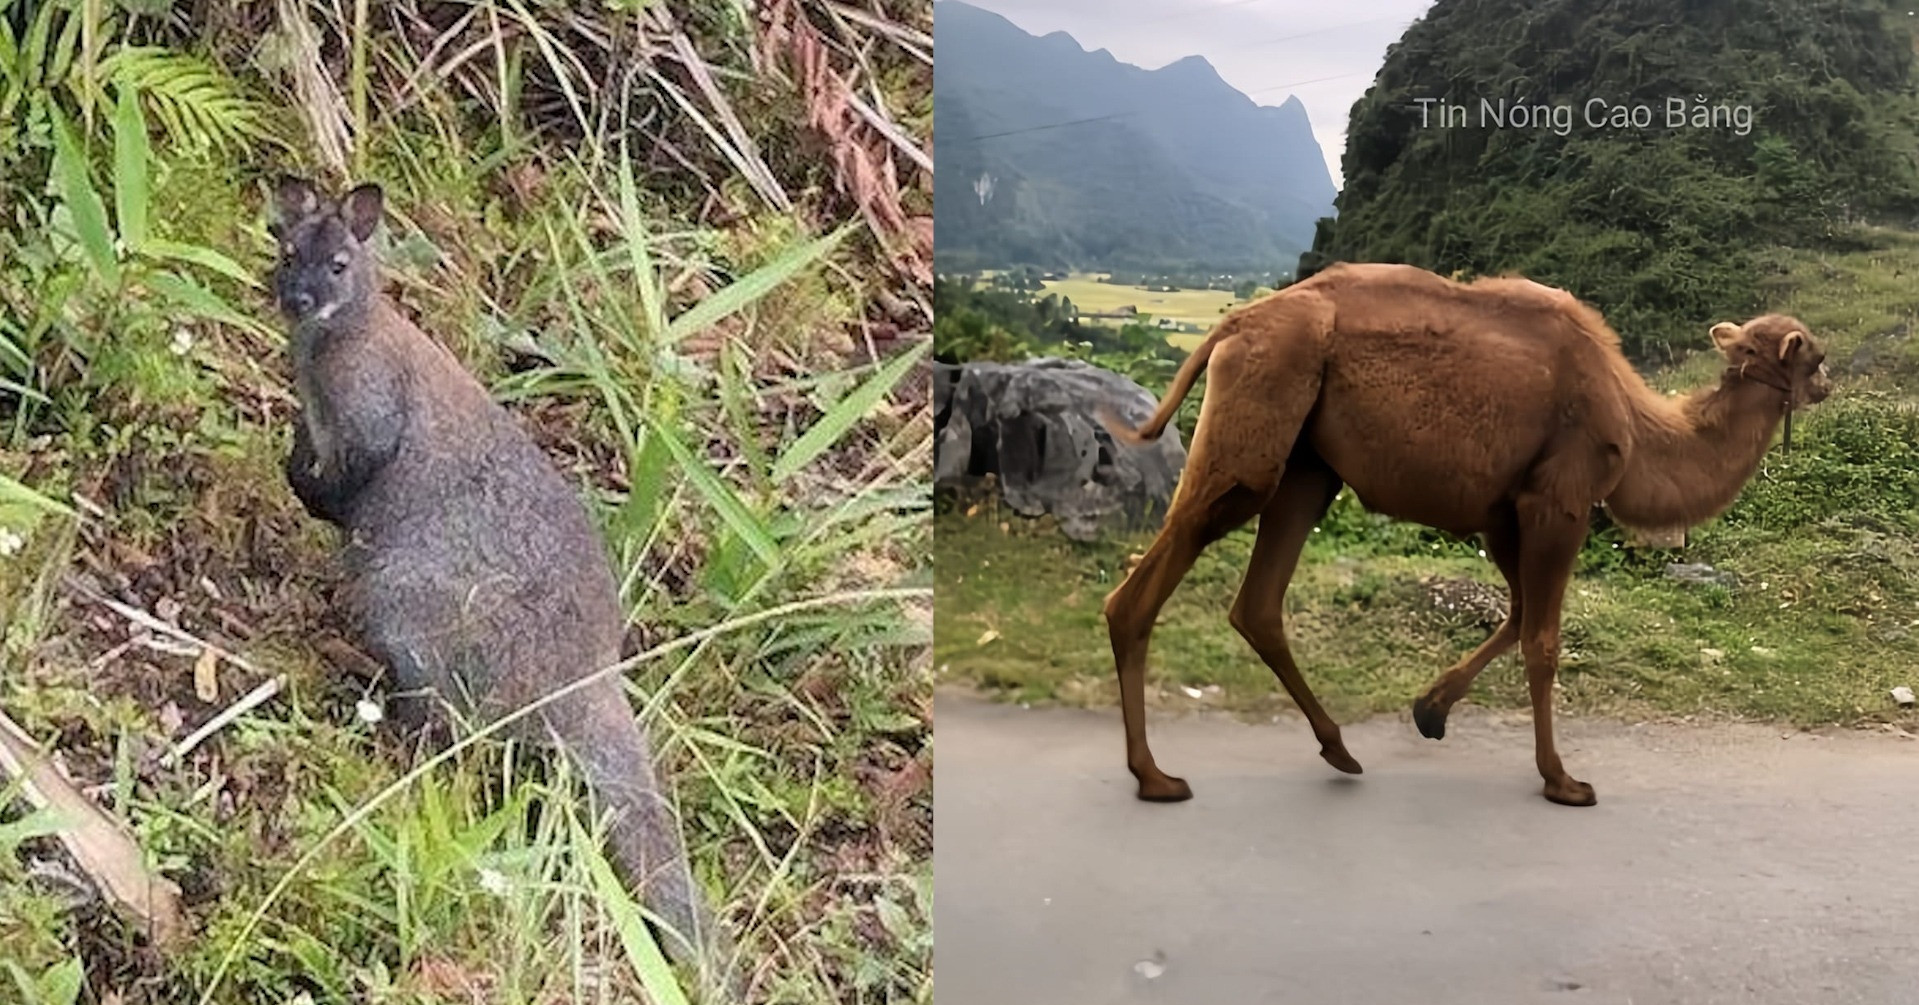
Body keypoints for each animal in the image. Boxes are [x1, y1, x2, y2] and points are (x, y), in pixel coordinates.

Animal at [1097, 262, 1826, 805]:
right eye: (1814, 356)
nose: (1825, 383)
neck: (1635, 422)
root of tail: (1232, 322)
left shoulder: (1501, 512)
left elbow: (1516, 615)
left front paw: (1430, 710)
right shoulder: (1558, 499)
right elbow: (1541, 639)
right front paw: (1561, 779)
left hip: (1307, 463)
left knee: (1258, 601)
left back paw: (1337, 748)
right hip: (1261, 415)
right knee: (1148, 583)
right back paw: (1154, 776)